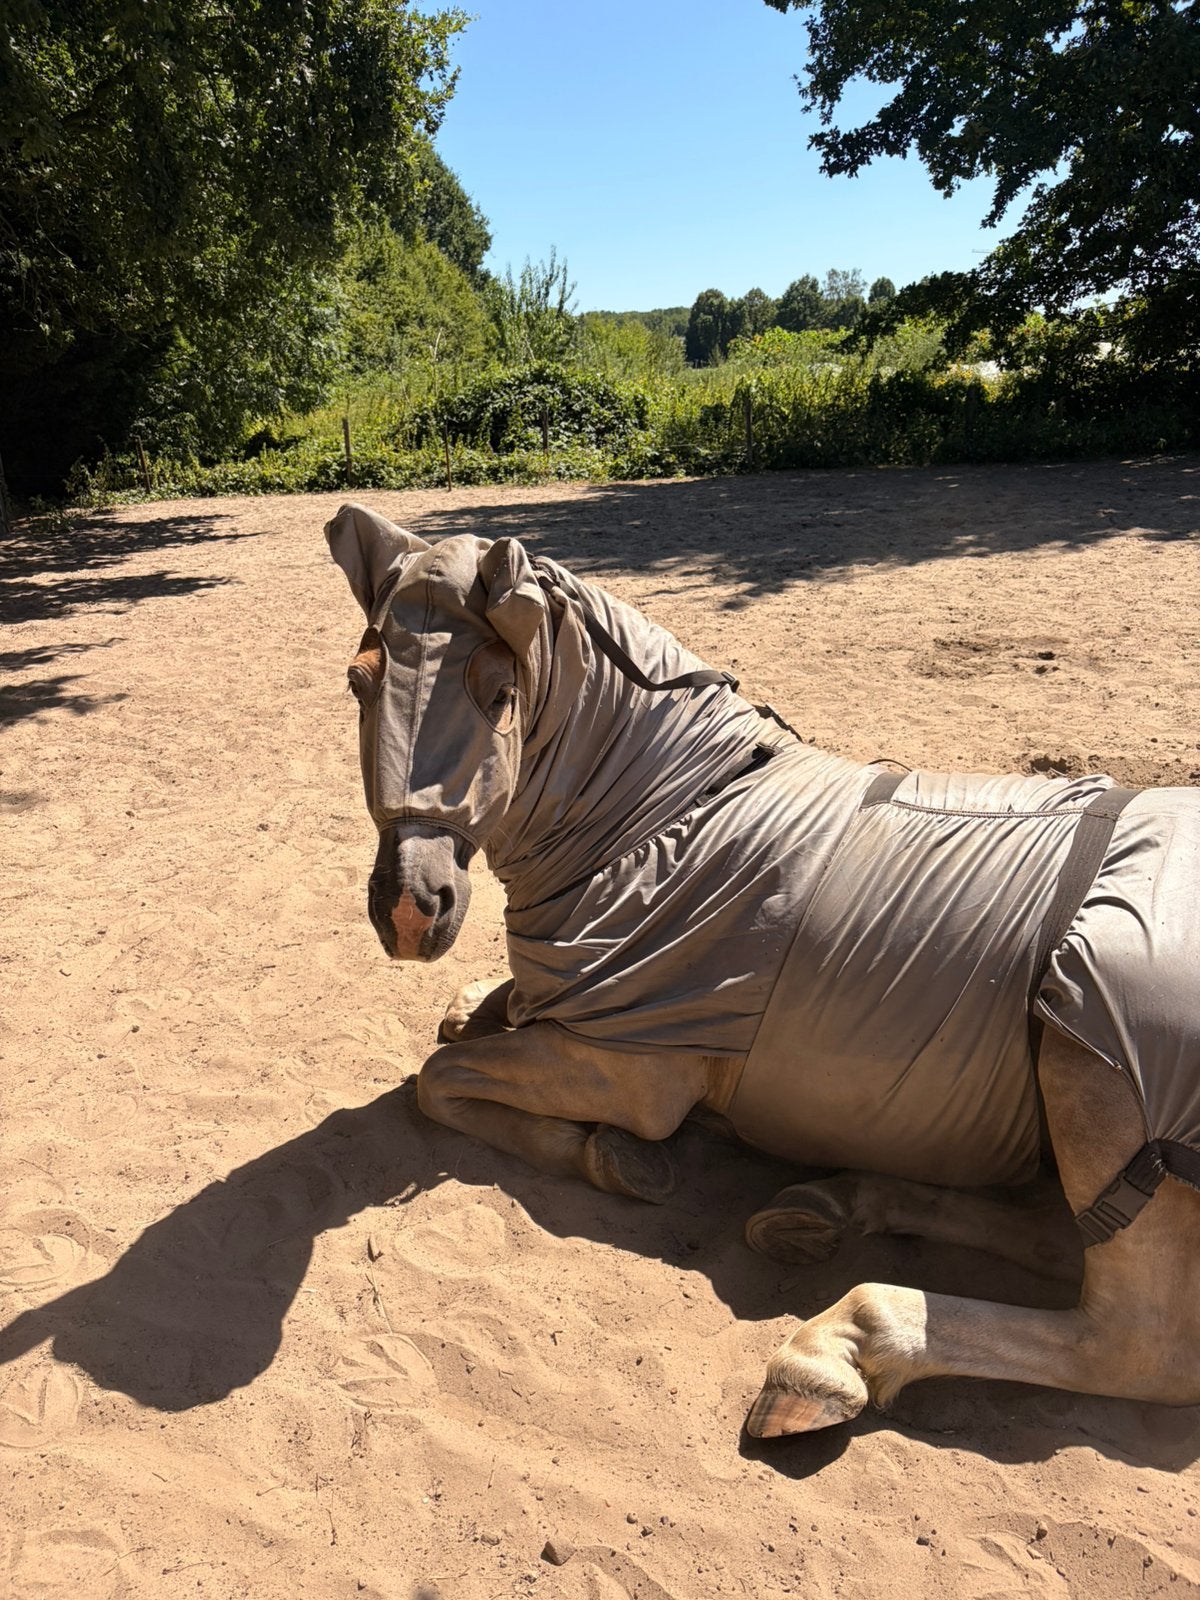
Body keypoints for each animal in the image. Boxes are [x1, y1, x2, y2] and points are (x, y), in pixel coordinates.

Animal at [325, 500, 1200, 1439]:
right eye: (358, 682)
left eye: (497, 690)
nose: (411, 908)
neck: (663, 820)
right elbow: (465, 1020)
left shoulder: (628, 1073)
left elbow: (441, 1079)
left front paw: (615, 1161)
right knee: (1047, 1235)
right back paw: (832, 1207)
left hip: (1096, 1088)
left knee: (1140, 1342)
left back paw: (837, 1346)